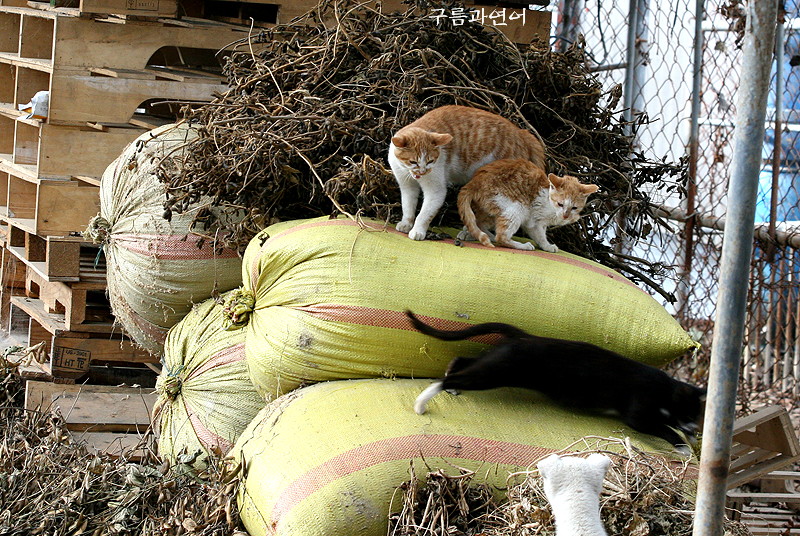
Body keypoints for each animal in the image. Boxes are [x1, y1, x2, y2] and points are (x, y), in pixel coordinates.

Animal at [388, 104, 544, 241]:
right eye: (413, 162)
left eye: (430, 161)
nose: (422, 171)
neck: (408, 172)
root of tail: (522, 133)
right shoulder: (407, 186)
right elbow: (408, 206)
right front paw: (406, 223)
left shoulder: (435, 190)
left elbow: (425, 214)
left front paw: (418, 230)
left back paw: (470, 233)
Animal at [406, 308, 708, 450]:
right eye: (687, 413)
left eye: (697, 414)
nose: (696, 429)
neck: (666, 390)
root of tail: (524, 336)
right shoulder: (637, 415)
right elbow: (662, 427)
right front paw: (682, 446)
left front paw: (689, 441)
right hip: (495, 372)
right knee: (451, 379)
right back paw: (422, 403)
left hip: (494, 364)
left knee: (460, 362)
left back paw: (451, 387)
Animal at [456, 158, 600, 252]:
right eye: (560, 204)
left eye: (574, 208)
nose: (565, 216)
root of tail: (474, 182)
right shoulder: (534, 221)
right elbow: (540, 236)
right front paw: (547, 246)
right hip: (516, 208)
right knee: (501, 236)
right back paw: (523, 245)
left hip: (491, 209)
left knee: (479, 223)